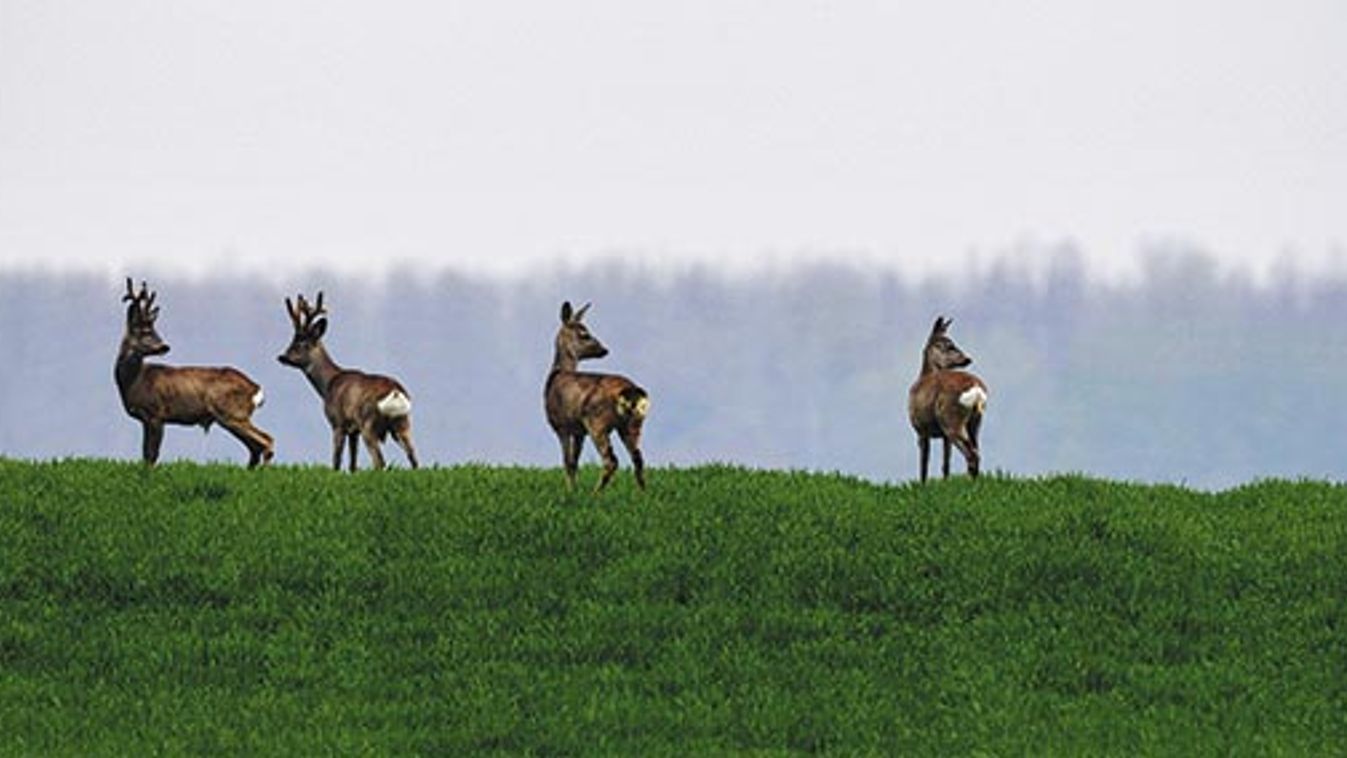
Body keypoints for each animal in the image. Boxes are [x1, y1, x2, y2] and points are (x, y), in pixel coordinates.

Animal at [114, 278, 274, 468]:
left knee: (266, 439)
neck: (134, 381)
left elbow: (151, 455)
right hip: (233, 416)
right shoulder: (147, 419)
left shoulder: (156, 414)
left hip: (232, 412)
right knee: (255, 447)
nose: (164, 346)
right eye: (144, 332)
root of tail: (256, 389)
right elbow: (146, 454)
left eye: (154, 331)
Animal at [276, 293, 417, 471]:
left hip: (368, 423)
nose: (282, 357)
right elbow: (352, 464)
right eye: (292, 341)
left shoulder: (338, 423)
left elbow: (336, 460)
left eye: (302, 343)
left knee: (379, 461)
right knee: (413, 457)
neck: (328, 384)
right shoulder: (353, 430)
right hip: (402, 423)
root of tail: (396, 392)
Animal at [546, 300, 651, 495]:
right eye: (584, 335)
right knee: (638, 457)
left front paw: (570, 491)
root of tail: (631, 390)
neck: (557, 374)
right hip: (633, 422)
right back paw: (643, 493)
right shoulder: (579, 431)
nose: (604, 350)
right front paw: (575, 489)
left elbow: (567, 462)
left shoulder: (561, 424)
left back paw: (595, 494)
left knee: (611, 460)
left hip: (598, 421)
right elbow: (575, 462)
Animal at [905, 317, 991, 484]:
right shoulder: (944, 437)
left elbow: (924, 462)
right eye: (948, 345)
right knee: (976, 450)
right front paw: (945, 483)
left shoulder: (920, 429)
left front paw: (922, 485)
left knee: (971, 453)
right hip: (975, 421)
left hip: (952, 421)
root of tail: (977, 389)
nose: (967, 359)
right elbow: (946, 463)